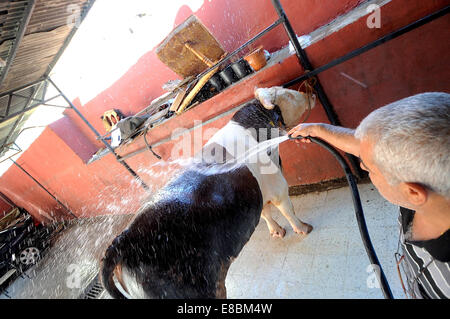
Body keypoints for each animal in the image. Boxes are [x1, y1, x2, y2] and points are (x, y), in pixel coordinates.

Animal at [100, 86, 314, 298]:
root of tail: (119, 243)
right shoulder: (277, 184)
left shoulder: (256, 193)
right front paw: (304, 229)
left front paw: (278, 232)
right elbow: (287, 210)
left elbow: (266, 213)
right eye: (288, 94)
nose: (310, 93)